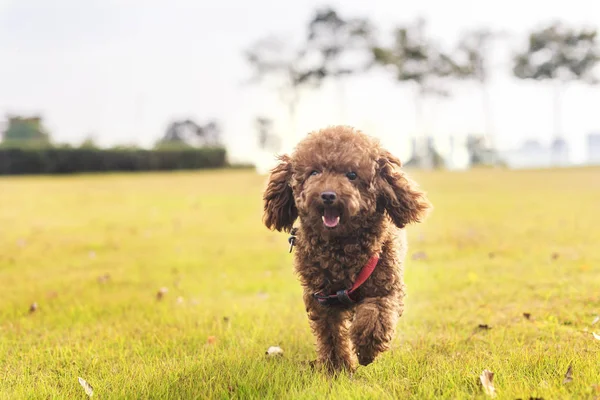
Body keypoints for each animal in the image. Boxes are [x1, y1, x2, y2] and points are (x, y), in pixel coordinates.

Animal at [262, 125, 432, 372]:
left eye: (352, 175)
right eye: (314, 173)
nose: (328, 195)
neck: (340, 248)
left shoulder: (386, 289)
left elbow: (374, 317)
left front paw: (366, 351)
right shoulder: (322, 298)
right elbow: (330, 334)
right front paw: (336, 368)